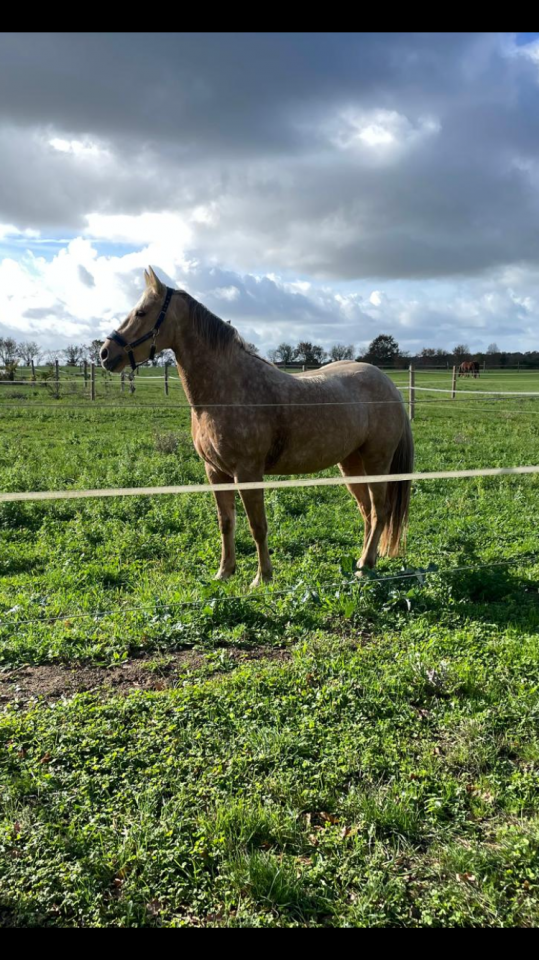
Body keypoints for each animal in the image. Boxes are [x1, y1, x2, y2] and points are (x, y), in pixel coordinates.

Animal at [100, 268, 414, 586]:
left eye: (142, 312)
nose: (105, 353)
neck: (226, 389)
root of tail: (390, 386)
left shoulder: (248, 472)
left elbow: (257, 525)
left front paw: (262, 577)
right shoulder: (215, 472)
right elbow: (226, 523)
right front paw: (224, 572)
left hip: (376, 461)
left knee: (380, 511)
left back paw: (366, 565)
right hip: (351, 463)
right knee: (367, 512)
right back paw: (363, 562)